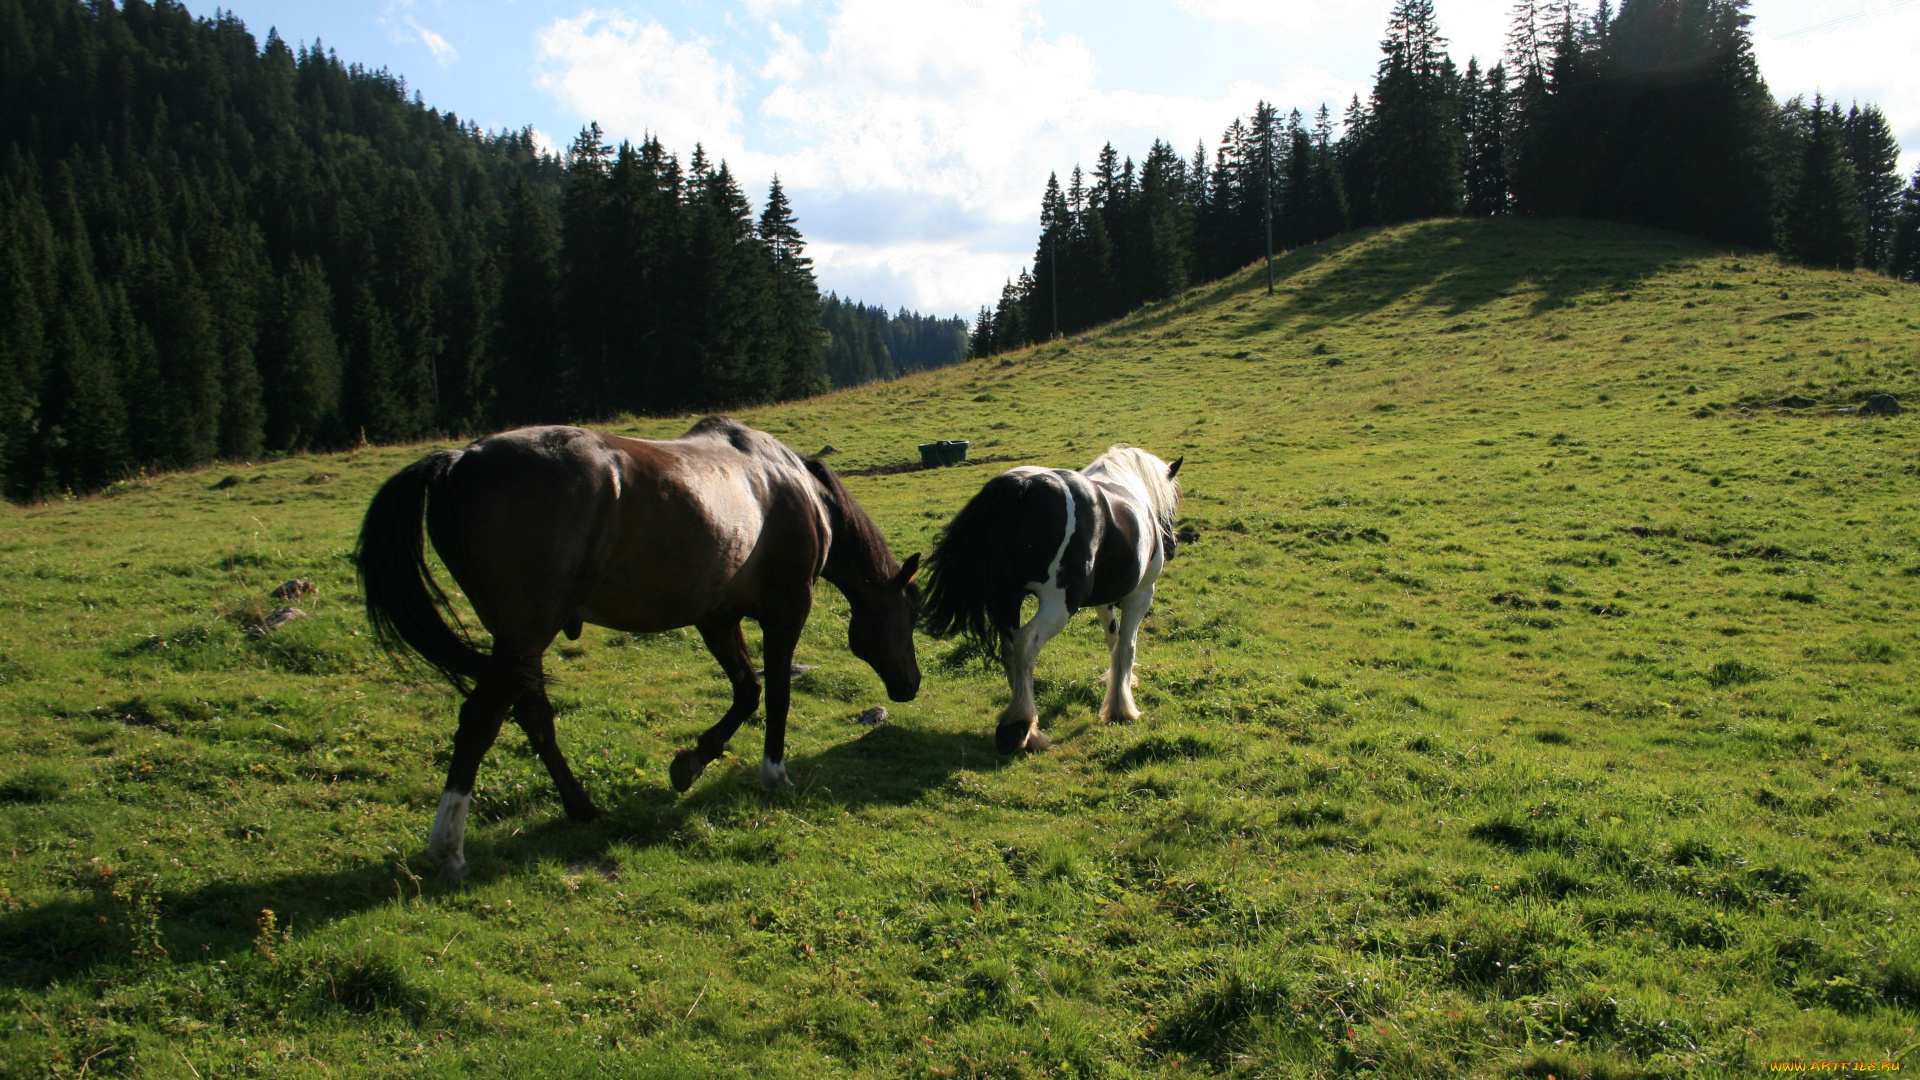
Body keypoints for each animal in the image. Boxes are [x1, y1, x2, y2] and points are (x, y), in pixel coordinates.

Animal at [360, 417, 929, 880]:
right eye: (912, 613)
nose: (910, 685)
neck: (796, 489)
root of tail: (459, 460)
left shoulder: (717, 618)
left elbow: (747, 692)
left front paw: (691, 762)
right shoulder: (786, 611)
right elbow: (777, 696)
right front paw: (774, 774)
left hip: (518, 643)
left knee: (534, 715)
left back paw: (582, 808)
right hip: (525, 633)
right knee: (481, 720)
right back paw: (450, 848)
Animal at [921, 441, 1175, 753]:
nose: (1171, 545)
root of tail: (1022, 487)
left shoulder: (1105, 601)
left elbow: (1113, 643)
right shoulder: (1140, 596)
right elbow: (1127, 649)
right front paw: (1121, 708)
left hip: (1007, 599)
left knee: (1010, 650)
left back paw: (1026, 726)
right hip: (1058, 605)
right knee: (1026, 645)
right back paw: (1018, 725)